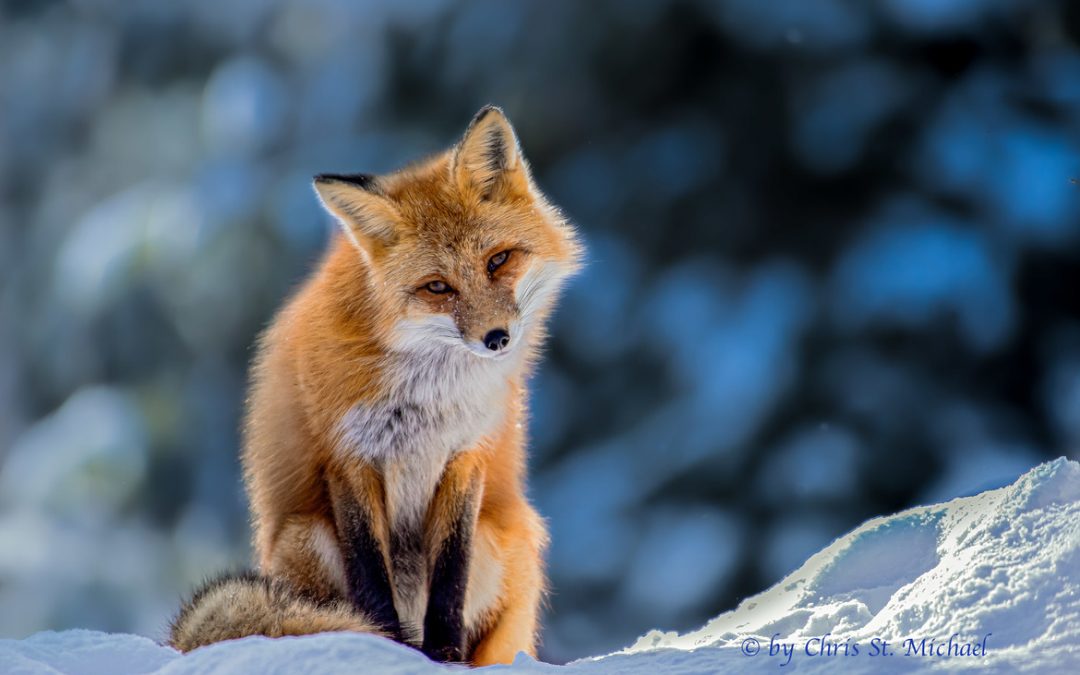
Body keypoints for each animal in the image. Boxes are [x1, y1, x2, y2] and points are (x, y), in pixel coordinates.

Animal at [168, 106, 582, 666]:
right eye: (437, 287)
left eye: (498, 260)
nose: (497, 338)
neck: (431, 393)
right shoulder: (349, 456)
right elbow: (369, 574)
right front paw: (386, 648)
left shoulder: (466, 454)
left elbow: (451, 573)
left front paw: (444, 655)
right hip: (305, 535)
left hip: (506, 539)